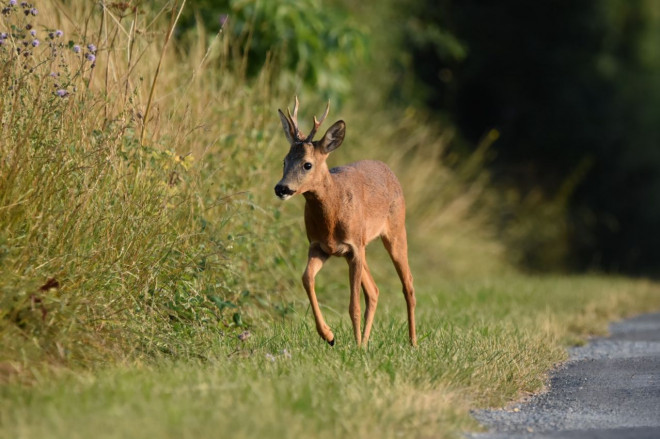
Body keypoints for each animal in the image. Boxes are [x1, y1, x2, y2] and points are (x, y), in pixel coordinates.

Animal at [274, 96, 418, 348]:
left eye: (307, 164)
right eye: (284, 161)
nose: (281, 188)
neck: (331, 218)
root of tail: (388, 169)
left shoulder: (353, 248)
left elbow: (353, 306)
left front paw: (352, 343)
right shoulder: (320, 246)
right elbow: (307, 278)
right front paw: (329, 335)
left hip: (395, 230)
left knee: (408, 284)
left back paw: (412, 342)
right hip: (363, 245)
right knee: (374, 290)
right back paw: (367, 342)